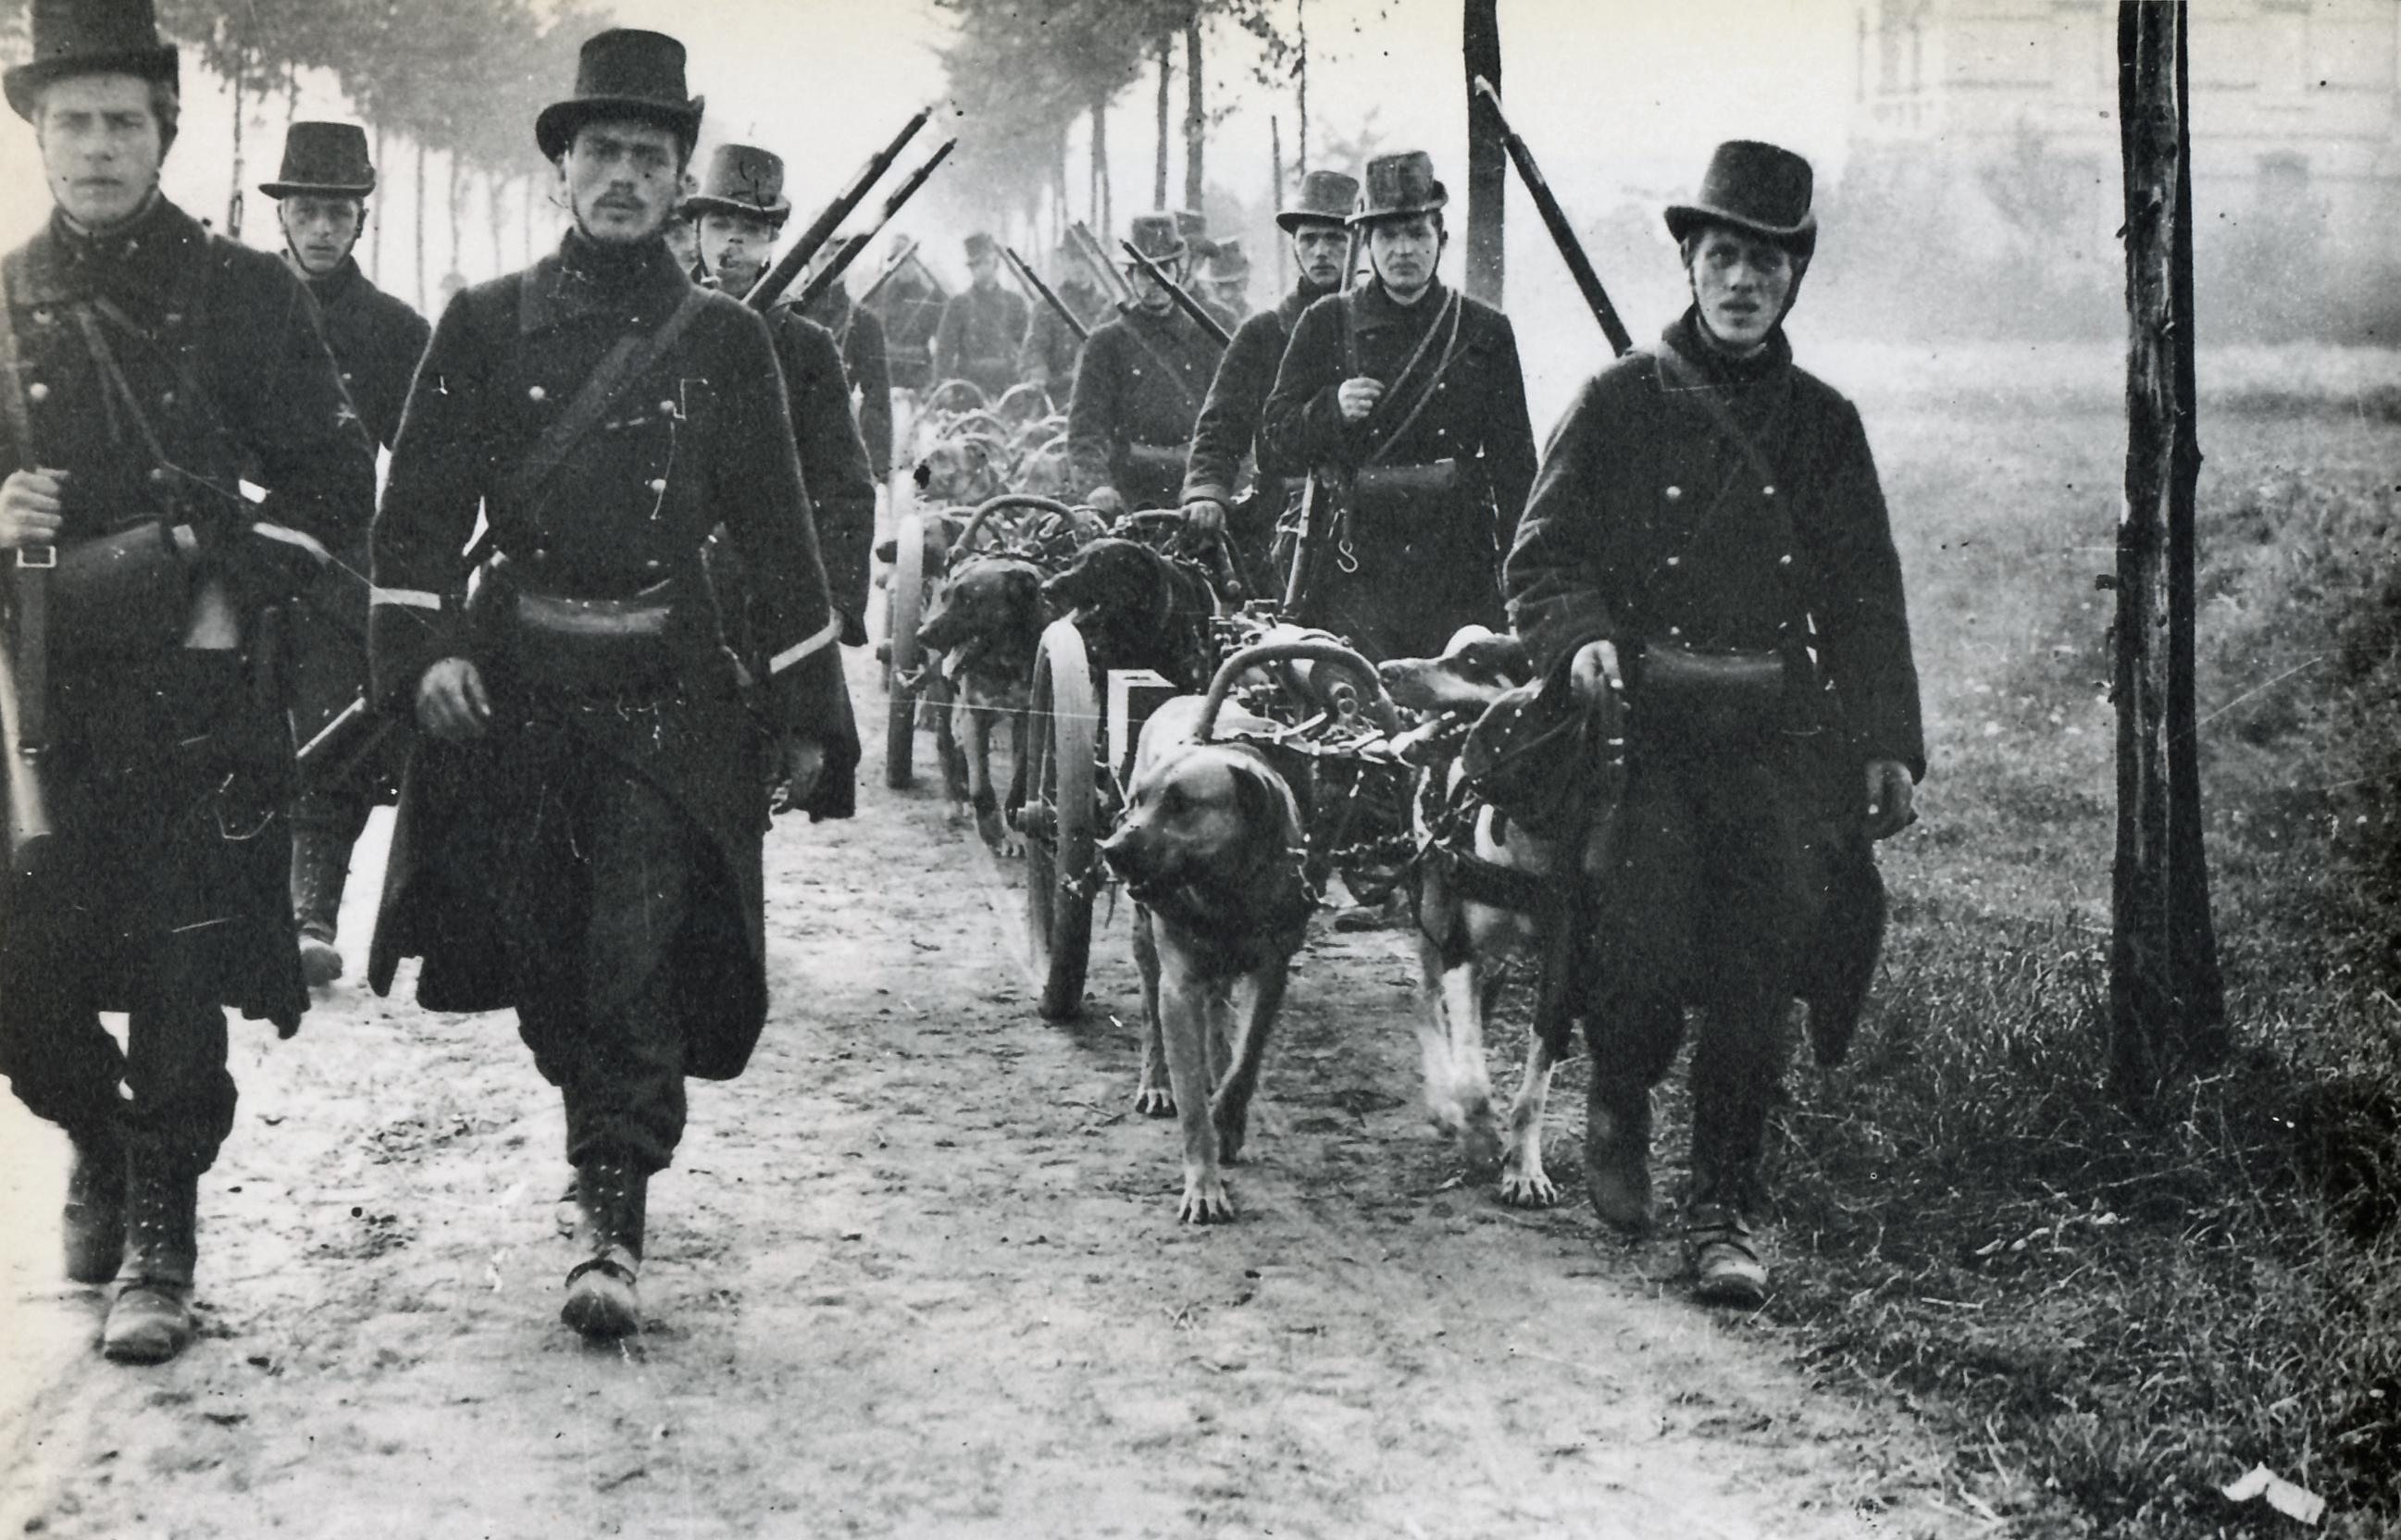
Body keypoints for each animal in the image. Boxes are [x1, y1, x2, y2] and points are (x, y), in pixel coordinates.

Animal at [907, 554, 1041, 855]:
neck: (1003, 660)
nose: (921, 634)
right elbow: (981, 786)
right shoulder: (974, 713)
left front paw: (1014, 819)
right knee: (945, 744)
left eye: (969, 600)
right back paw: (954, 800)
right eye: (945, 597)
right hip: (943, 697)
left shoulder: (1027, 716)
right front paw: (992, 831)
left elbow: (1020, 776)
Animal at [1100, 696, 1315, 1224]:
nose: (1110, 849)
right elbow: (1191, 1100)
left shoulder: (1272, 972)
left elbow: (1247, 1059)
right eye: (1138, 801)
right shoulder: (1178, 986)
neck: (1225, 891)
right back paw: (1156, 1082)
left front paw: (1228, 1117)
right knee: (1150, 1014)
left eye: (1180, 804)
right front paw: (1203, 1184)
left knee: (1218, 1013)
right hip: (1144, 941)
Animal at [1383, 619, 1585, 1200]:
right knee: (1427, 1004)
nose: (1386, 670)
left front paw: (1525, 1169)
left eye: (1473, 662)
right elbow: (1472, 1079)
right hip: (1431, 901)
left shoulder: (1564, 970)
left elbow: (1534, 1088)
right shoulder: (1458, 949)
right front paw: (1476, 1135)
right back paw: (1443, 1103)